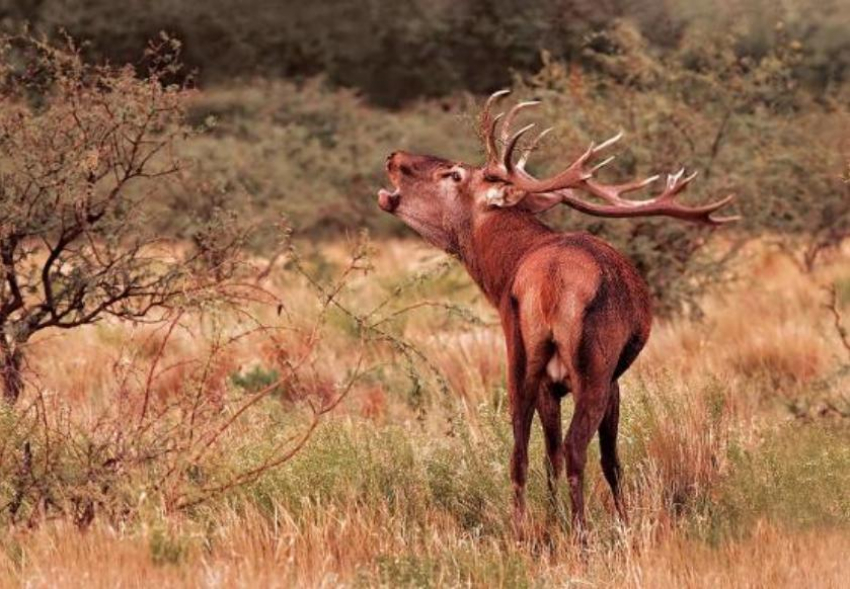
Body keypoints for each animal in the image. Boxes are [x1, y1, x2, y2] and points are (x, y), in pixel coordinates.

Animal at [378, 90, 736, 536]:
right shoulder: (611, 379)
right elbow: (608, 459)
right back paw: (582, 535)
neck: (503, 275)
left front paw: (552, 519)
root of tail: (550, 283)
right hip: (594, 367)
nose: (393, 156)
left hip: (522, 358)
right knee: (576, 448)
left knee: (522, 451)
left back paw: (525, 530)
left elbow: (548, 454)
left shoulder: (548, 381)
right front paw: (621, 522)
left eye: (454, 173)